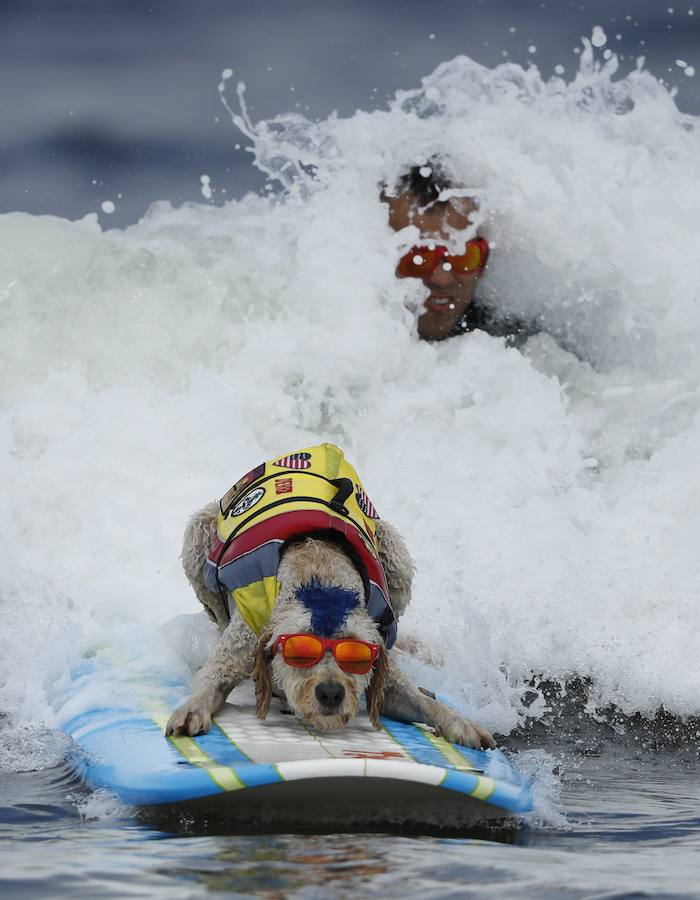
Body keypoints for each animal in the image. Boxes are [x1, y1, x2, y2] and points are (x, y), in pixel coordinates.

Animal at [166, 444, 494, 752]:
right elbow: (211, 677)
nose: (331, 693)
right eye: (299, 651)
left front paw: (458, 721)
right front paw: (192, 708)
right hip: (200, 534)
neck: (320, 580)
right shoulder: (244, 638)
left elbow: (409, 696)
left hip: (395, 557)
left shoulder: (381, 668)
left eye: (356, 656)